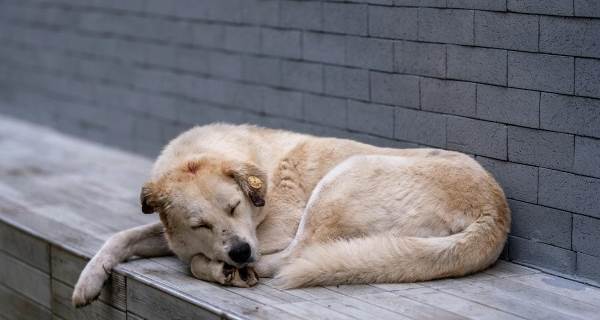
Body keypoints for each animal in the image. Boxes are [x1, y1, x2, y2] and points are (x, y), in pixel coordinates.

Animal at [71, 123, 510, 308]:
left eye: (234, 207)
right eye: (200, 224)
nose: (240, 253)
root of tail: (496, 210)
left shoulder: (269, 232)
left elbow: (191, 258)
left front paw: (217, 265)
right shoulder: (174, 234)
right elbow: (122, 236)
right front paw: (88, 281)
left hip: (339, 182)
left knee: (293, 258)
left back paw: (226, 271)